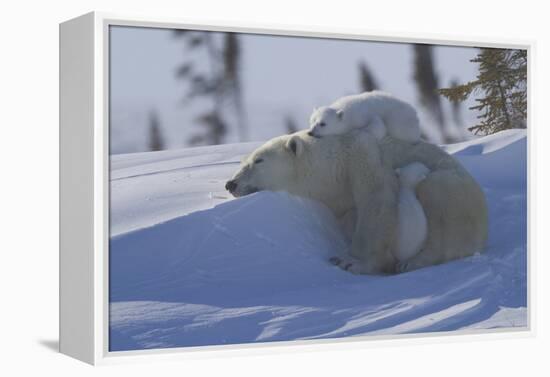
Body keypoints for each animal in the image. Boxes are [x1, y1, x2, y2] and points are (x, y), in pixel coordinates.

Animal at [226, 131, 490, 272]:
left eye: (258, 160)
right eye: (244, 161)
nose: (231, 184)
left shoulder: (360, 154)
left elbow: (376, 198)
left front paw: (351, 261)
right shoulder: (339, 200)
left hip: (453, 190)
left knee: (440, 210)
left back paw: (412, 262)